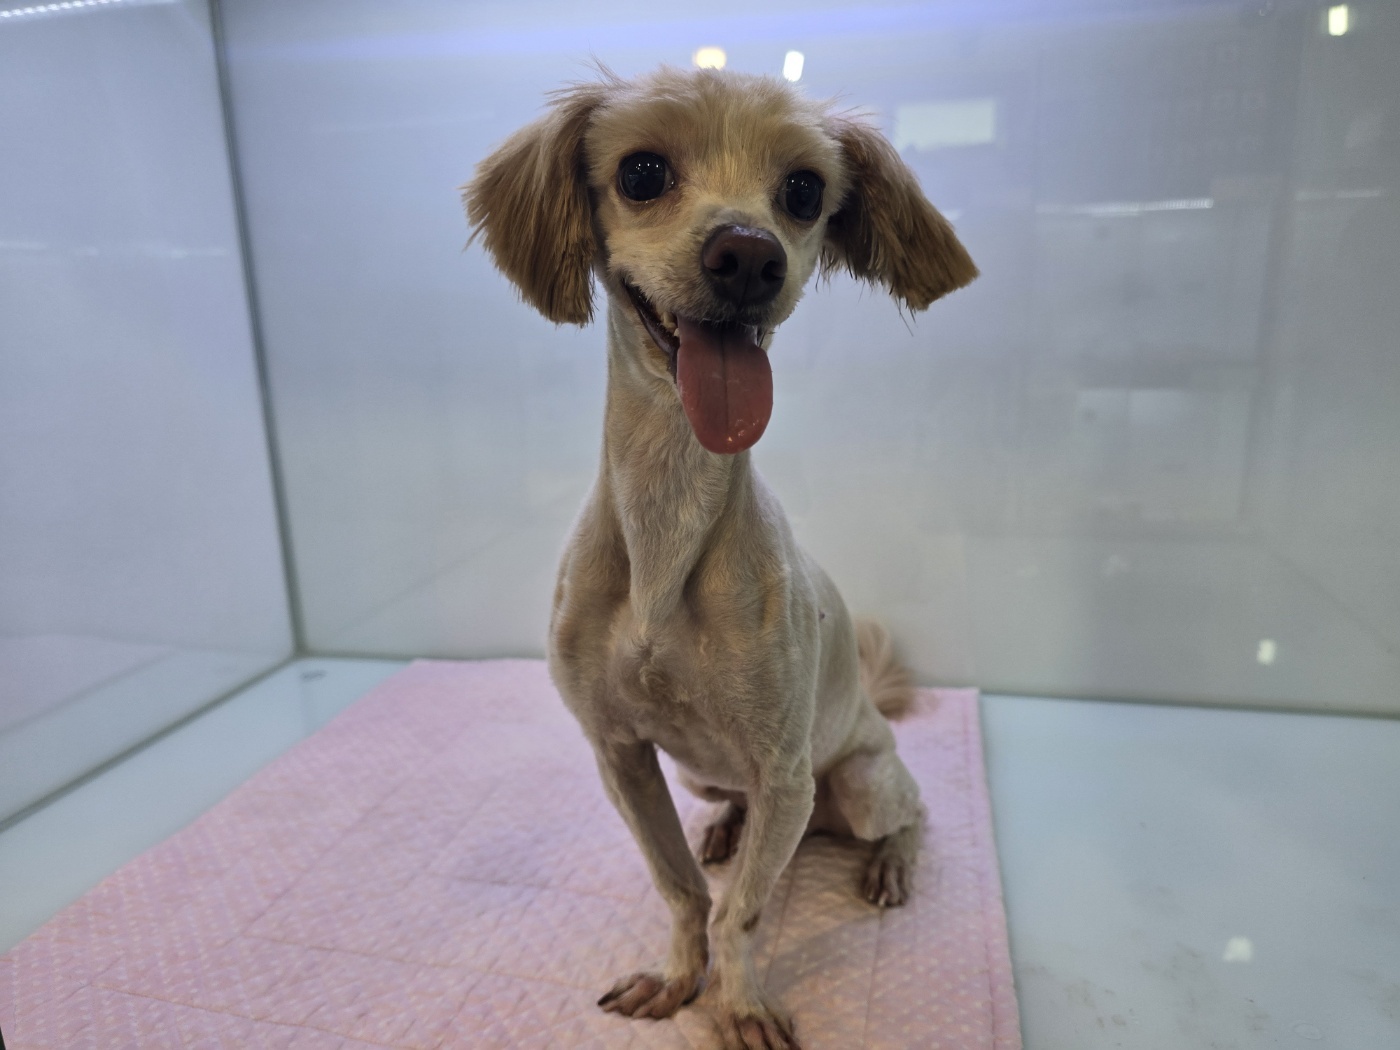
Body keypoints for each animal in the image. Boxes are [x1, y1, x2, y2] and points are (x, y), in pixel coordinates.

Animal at [464, 66, 975, 1050]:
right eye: (642, 172)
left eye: (805, 191)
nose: (748, 255)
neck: (666, 529)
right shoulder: (619, 751)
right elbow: (680, 890)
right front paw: (677, 977)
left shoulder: (784, 770)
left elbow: (742, 911)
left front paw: (737, 1002)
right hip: (704, 775)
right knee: (732, 815)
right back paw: (727, 834)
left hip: (854, 783)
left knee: (909, 814)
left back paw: (887, 863)